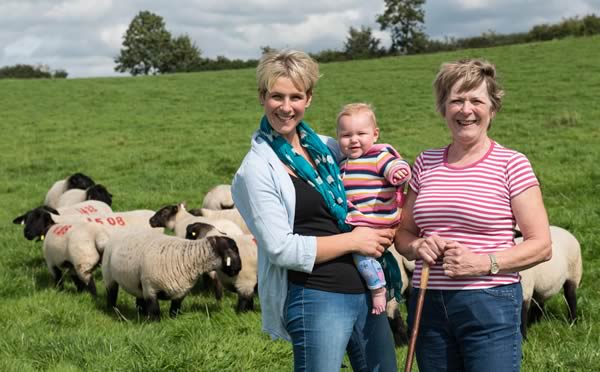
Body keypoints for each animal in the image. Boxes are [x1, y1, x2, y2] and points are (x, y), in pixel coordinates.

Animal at [102, 230, 241, 320]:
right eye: (232, 250)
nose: (239, 269)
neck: (190, 257)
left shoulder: (181, 291)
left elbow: (175, 309)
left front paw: (173, 320)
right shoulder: (151, 289)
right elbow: (154, 310)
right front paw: (154, 324)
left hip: (138, 281)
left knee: (139, 298)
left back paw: (141, 313)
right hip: (109, 275)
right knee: (111, 294)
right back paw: (112, 310)